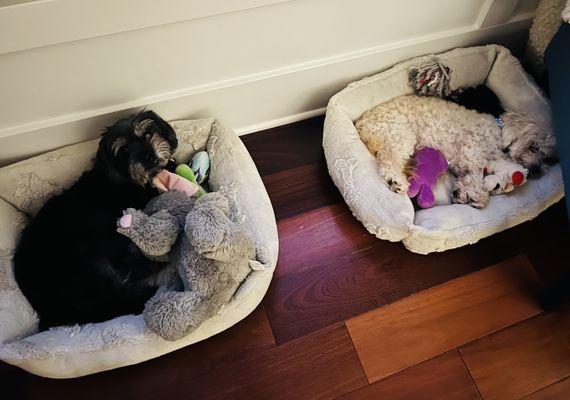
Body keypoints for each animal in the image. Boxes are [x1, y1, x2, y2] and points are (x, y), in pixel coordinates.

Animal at [358, 95, 552, 208]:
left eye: (549, 157)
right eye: (533, 146)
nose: (537, 170)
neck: (499, 132)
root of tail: (362, 123)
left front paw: (466, 193)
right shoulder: (471, 153)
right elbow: (476, 175)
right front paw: (475, 195)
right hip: (400, 136)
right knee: (388, 160)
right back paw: (395, 181)